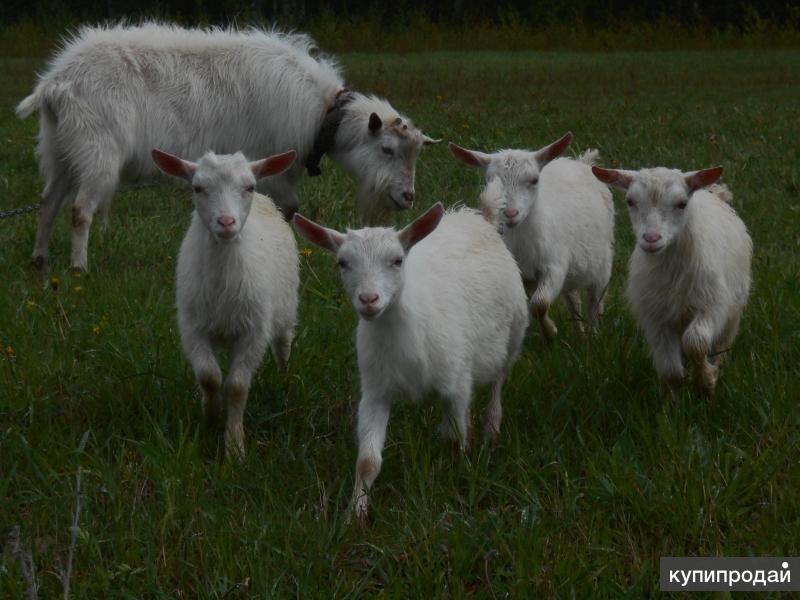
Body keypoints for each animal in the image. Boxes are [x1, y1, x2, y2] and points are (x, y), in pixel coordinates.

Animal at [17, 23, 438, 270]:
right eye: (387, 149)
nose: (408, 197)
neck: (321, 113)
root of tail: (54, 84)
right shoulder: (273, 170)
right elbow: (287, 209)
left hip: (60, 150)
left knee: (48, 202)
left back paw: (39, 259)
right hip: (96, 152)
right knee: (79, 210)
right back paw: (78, 268)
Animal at [152, 148, 298, 458]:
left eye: (249, 187)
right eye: (197, 188)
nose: (227, 223)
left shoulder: (254, 331)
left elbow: (236, 387)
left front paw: (234, 447)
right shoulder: (193, 329)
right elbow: (209, 377)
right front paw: (210, 418)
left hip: (285, 311)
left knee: (283, 347)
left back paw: (284, 383)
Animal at [290, 202, 528, 520]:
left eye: (397, 260)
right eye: (342, 262)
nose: (369, 299)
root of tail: (477, 217)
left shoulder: (456, 382)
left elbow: (454, 441)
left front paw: (454, 480)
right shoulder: (375, 391)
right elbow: (367, 460)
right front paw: (356, 512)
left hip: (513, 334)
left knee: (497, 383)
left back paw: (491, 430)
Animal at [450, 133, 612, 338]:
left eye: (534, 180)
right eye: (489, 181)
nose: (510, 213)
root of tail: (581, 162)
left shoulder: (555, 266)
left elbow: (539, 303)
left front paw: (550, 332)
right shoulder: (524, 275)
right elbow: (533, 304)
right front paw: (548, 332)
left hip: (603, 261)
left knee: (596, 300)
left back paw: (594, 334)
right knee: (574, 301)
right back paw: (581, 333)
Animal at [592, 166, 752, 396]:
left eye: (681, 203)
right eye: (630, 201)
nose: (651, 238)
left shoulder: (712, 305)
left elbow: (695, 343)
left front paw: (706, 382)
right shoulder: (655, 316)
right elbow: (670, 370)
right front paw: (672, 399)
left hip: (732, 315)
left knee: (720, 345)